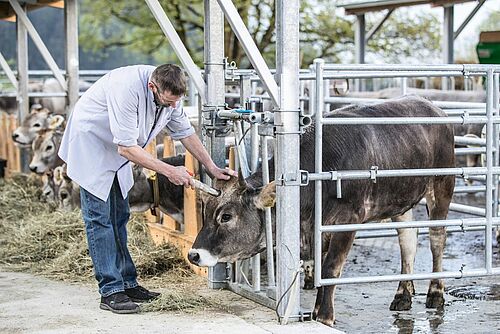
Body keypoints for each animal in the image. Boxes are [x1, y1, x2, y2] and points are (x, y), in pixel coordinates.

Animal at [187, 96, 454, 326]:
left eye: (226, 216)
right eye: (206, 211)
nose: (194, 255)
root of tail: (433, 107)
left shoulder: (348, 221)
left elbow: (330, 268)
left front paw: (324, 316)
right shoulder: (317, 228)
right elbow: (318, 266)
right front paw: (315, 311)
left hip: (442, 186)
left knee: (437, 239)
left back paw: (436, 293)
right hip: (401, 200)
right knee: (408, 240)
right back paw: (402, 295)